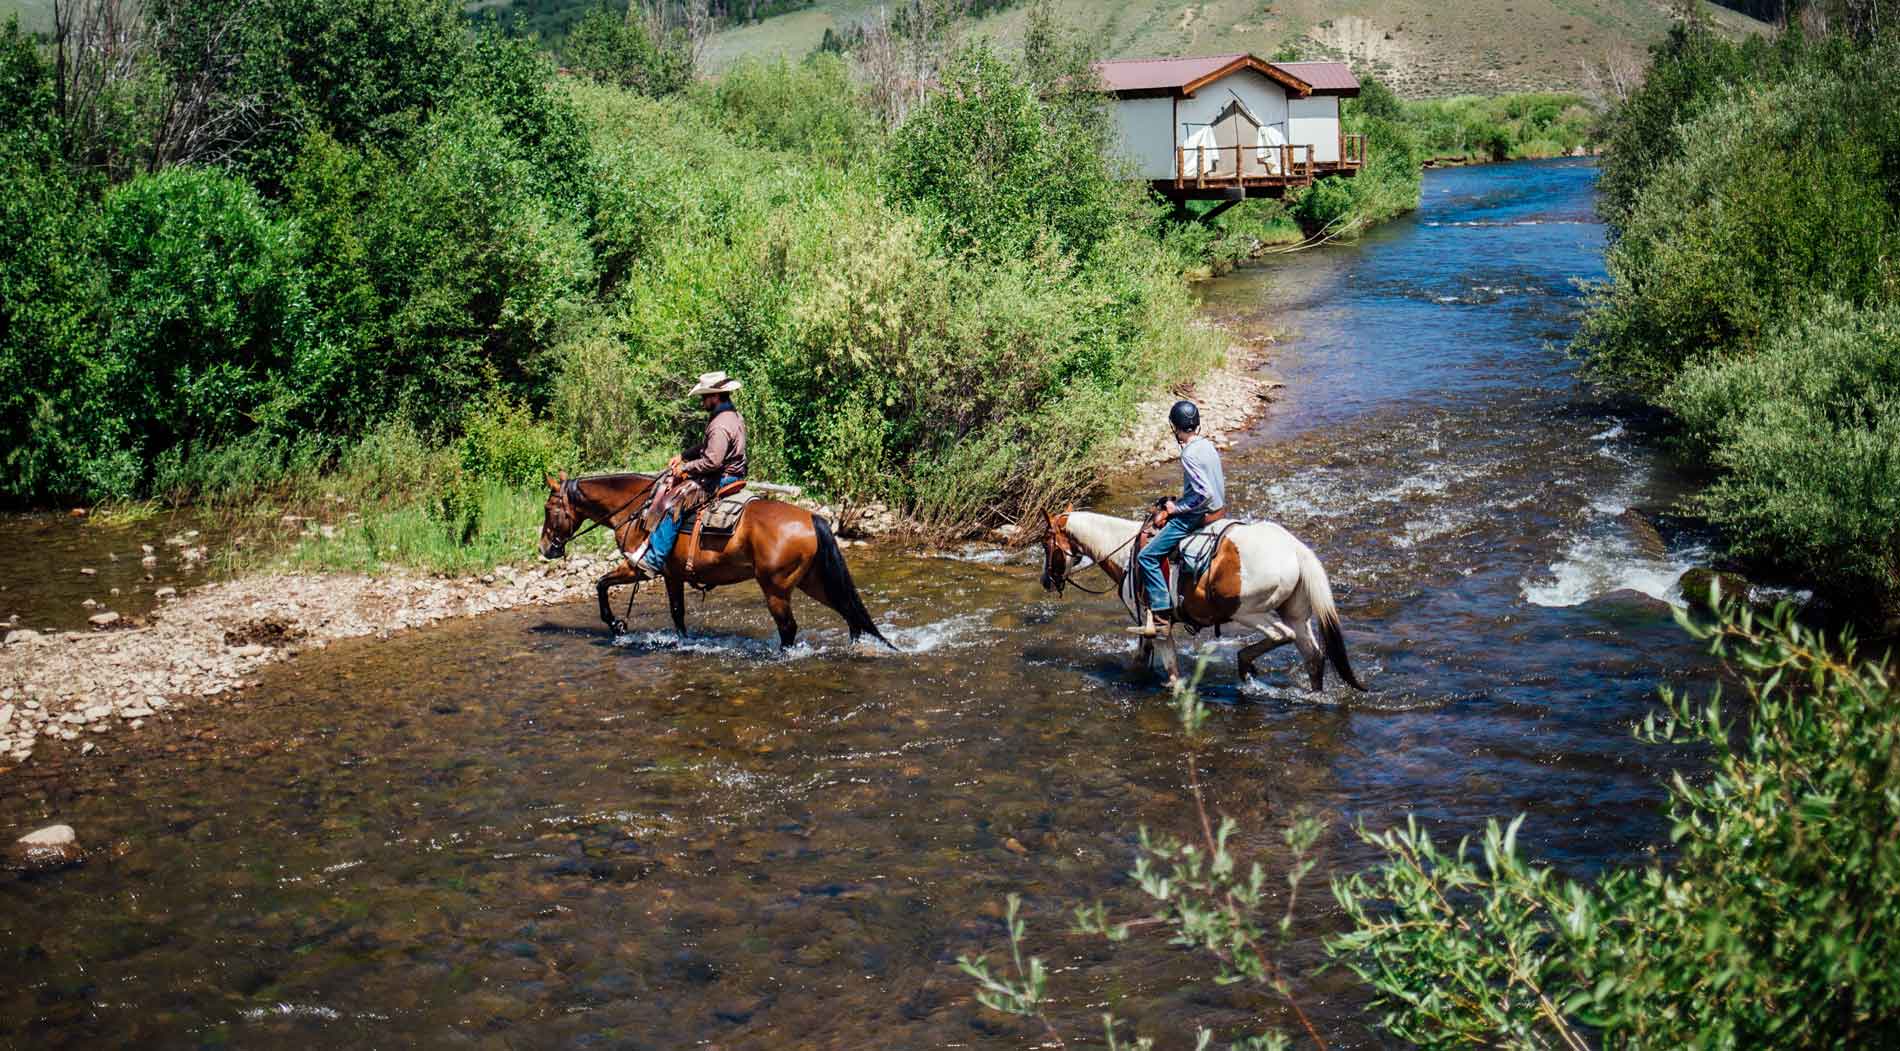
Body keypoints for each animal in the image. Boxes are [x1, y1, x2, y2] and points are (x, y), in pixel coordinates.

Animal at [535, 469, 889, 646]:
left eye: (549, 508)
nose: (545, 548)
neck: (636, 510)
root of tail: (811, 518)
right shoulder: (672, 575)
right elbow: (677, 613)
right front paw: (684, 642)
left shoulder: (641, 567)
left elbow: (600, 584)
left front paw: (615, 624)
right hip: (812, 581)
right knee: (848, 611)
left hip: (775, 588)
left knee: (789, 628)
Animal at [1041, 505, 1368, 691]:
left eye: (1045, 543)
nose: (1046, 581)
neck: (1125, 552)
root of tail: (1295, 549)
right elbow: (1140, 661)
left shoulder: (1154, 623)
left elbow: (1171, 672)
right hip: (1297, 613)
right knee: (1312, 655)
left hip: (1248, 611)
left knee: (1280, 635)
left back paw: (1244, 663)